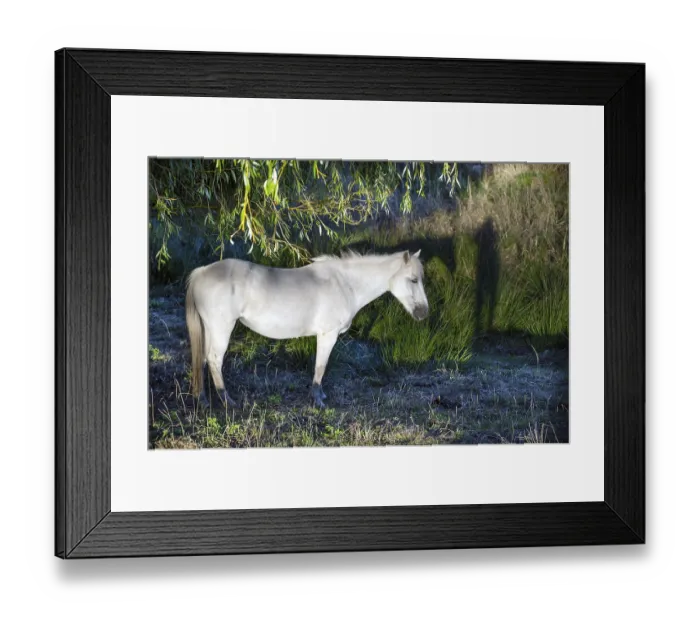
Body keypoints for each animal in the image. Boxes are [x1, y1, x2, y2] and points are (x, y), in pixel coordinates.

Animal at [185, 249, 428, 408]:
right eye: (413, 280)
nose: (423, 313)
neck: (345, 284)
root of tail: (202, 272)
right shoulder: (327, 335)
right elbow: (321, 366)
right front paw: (318, 399)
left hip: (209, 329)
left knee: (203, 359)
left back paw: (203, 399)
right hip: (221, 328)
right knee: (214, 359)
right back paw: (227, 401)